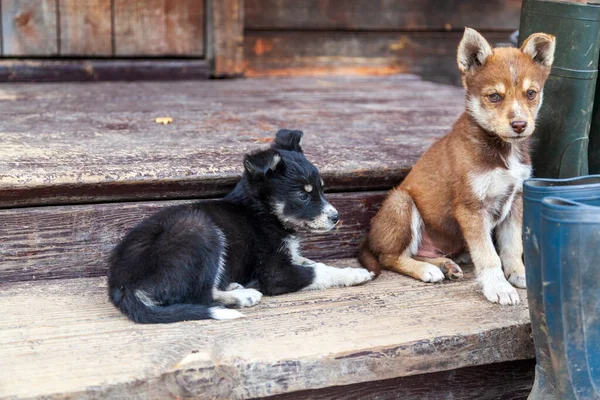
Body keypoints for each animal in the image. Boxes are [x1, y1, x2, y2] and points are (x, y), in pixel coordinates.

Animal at [105, 130, 372, 324]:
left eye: (322, 189)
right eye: (303, 196)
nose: (336, 217)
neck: (264, 213)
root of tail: (120, 285)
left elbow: (316, 264)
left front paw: (350, 270)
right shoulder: (274, 274)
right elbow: (317, 272)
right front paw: (354, 274)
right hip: (200, 229)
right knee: (197, 296)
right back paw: (243, 296)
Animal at [358, 27, 556, 304]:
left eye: (531, 93)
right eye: (494, 96)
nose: (519, 125)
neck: (503, 151)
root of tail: (369, 238)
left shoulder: (515, 201)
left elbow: (512, 247)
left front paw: (520, 276)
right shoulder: (471, 207)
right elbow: (488, 255)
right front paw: (499, 287)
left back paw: (445, 264)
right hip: (401, 203)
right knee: (389, 256)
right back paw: (428, 270)